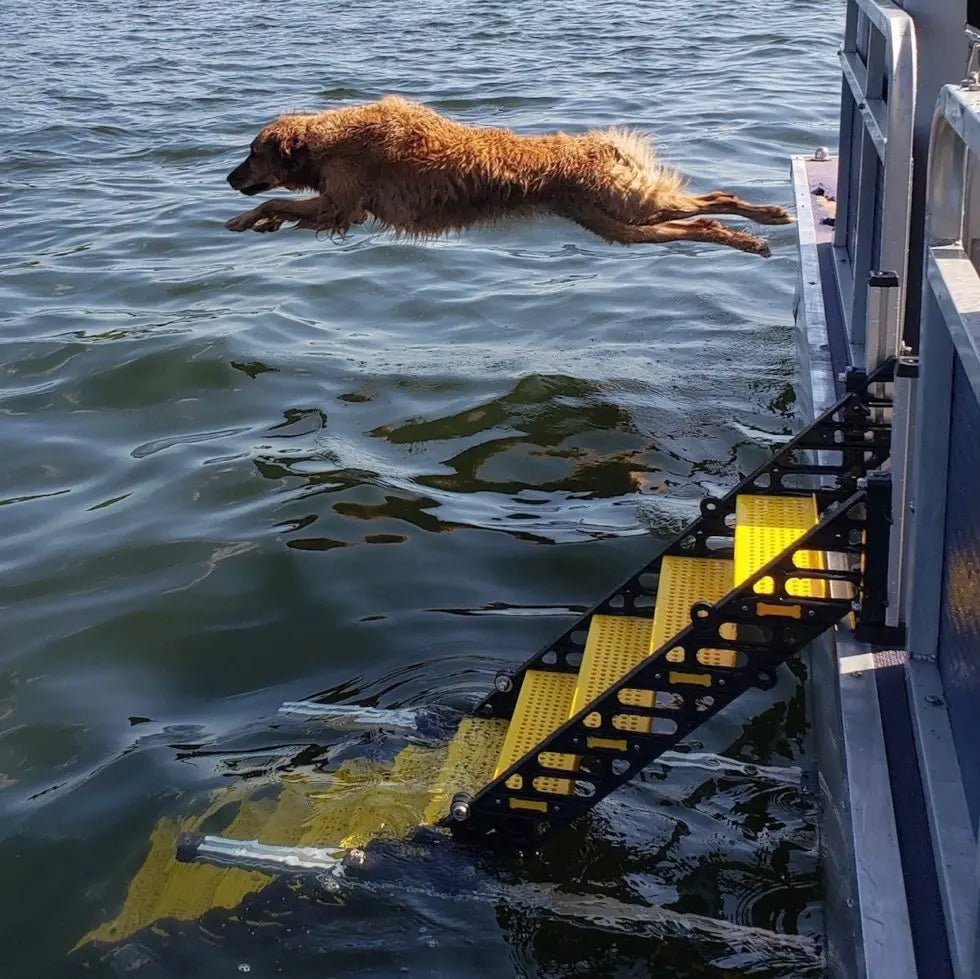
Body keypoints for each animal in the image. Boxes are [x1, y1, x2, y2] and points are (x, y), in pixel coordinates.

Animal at [226, 95, 792, 255]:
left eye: (251, 154)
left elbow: (277, 201)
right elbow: (283, 208)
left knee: (715, 200)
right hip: (617, 225)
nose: (229, 180)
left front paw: (248, 217)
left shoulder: (342, 206)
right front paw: (258, 221)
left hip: (629, 206)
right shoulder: (339, 209)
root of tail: (601, 145)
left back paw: (765, 217)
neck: (328, 140)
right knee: (699, 221)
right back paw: (743, 239)